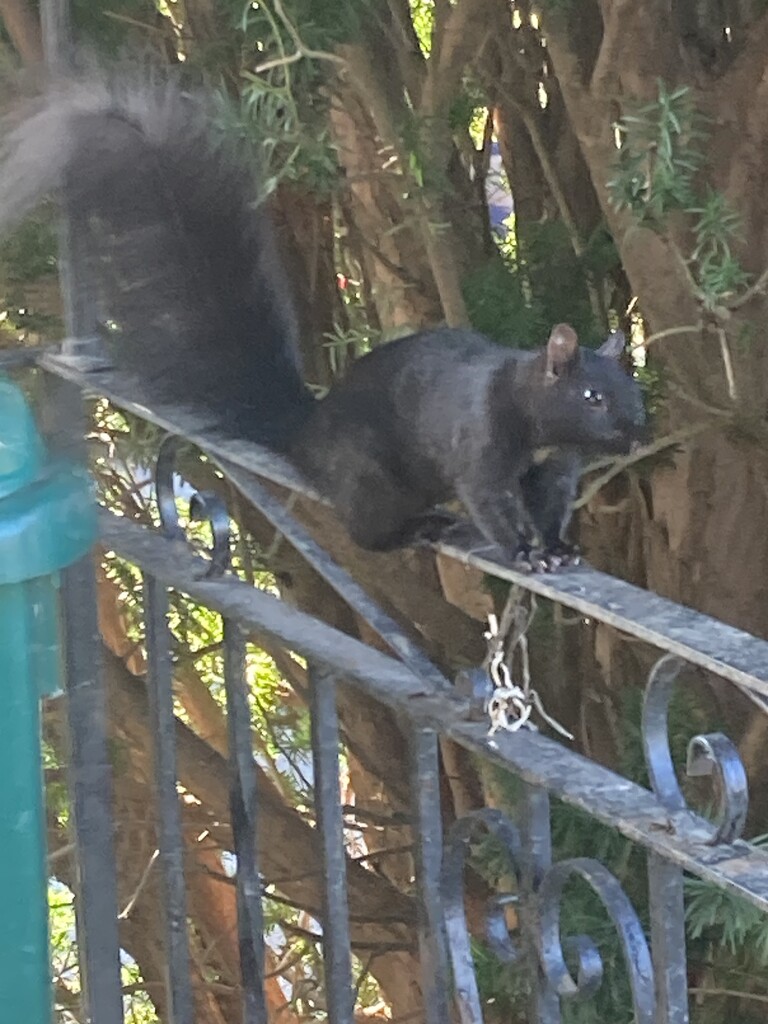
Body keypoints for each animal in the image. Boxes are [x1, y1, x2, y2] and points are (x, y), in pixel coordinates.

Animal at [0, 74, 651, 569]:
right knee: (370, 532)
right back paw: (419, 528)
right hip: (373, 481)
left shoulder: (556, 472)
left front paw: (558, 547)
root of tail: (307, 436)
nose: (636, 435)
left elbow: (551, 506)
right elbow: (492, 503)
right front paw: (524, 551)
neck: (536, 419)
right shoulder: (479, 448)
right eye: (592, 396)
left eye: (634, 390)